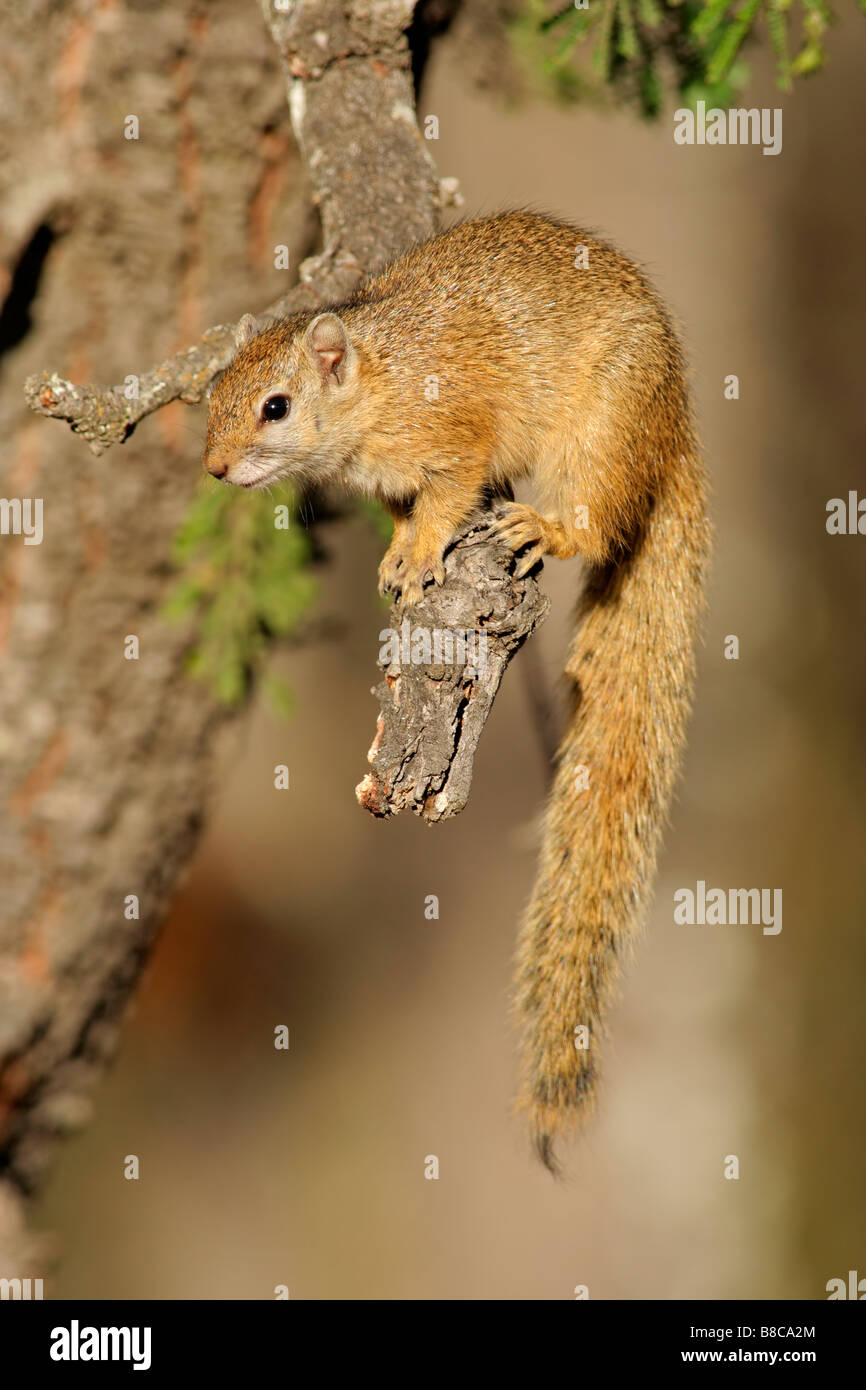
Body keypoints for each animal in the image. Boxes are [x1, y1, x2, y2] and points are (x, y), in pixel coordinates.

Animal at [202, 214, 711, 1173]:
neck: (382, 379)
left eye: (275, 407)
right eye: (212, 396)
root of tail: (674, 428)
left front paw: (418, 555)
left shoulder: (455, 435)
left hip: (600, 432)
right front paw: (396, 554)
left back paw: (541, 526)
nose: (213, 469)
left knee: (595, 521)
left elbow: (446, 498)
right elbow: (409, 513)